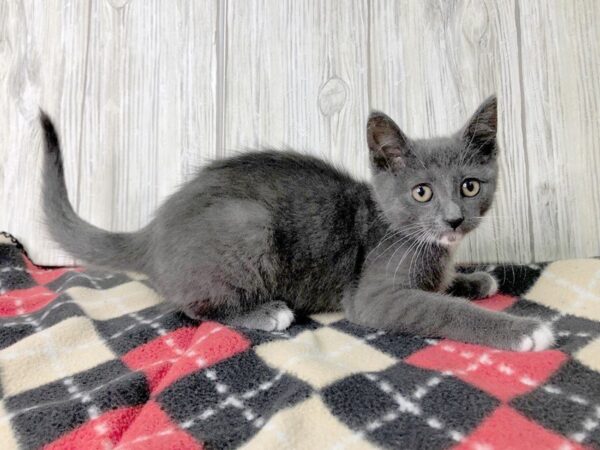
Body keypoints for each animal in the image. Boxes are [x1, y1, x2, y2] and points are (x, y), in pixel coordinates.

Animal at [38, 96, 552, 354]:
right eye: (422, 192)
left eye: (469, 186)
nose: (454, 218)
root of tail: (151, 229)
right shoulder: (375, 295)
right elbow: (442, 309)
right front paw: (523, 331)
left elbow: (443, 287)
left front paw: (474, 279)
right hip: (248, 223)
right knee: (191, 307)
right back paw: (267, 312)